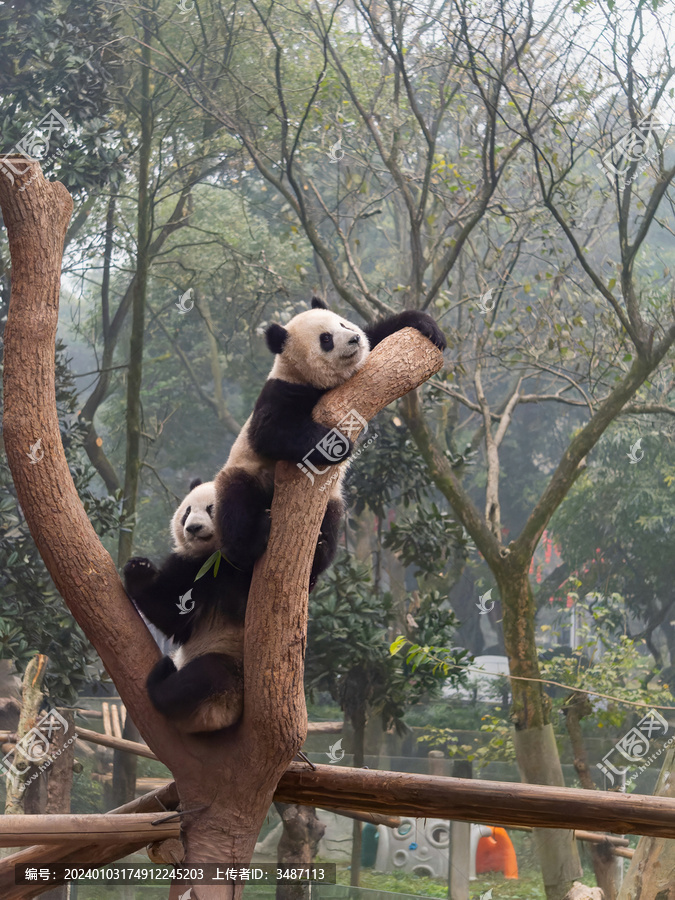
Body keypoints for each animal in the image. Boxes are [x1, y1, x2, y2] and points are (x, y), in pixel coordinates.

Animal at [121, 478, 251, 732]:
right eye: (187, 511)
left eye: (212, 508)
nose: (193, 528)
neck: (213, 556)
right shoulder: (189, 565)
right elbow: (171, 616)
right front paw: (139, 569)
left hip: (231, 663)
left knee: (204, 677)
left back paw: (161, 677)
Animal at [217, 298, 446, 580]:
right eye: (326, 339)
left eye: (343, 324)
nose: (354, 338)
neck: (308, 378)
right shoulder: (282, 391)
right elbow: (269, 433)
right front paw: (339, 445)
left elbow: (379, 335)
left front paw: (426, 325)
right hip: (247, 471)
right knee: (236, 501)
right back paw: (253, 541)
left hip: (333, 500)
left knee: (332, 518)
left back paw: (320, 551)